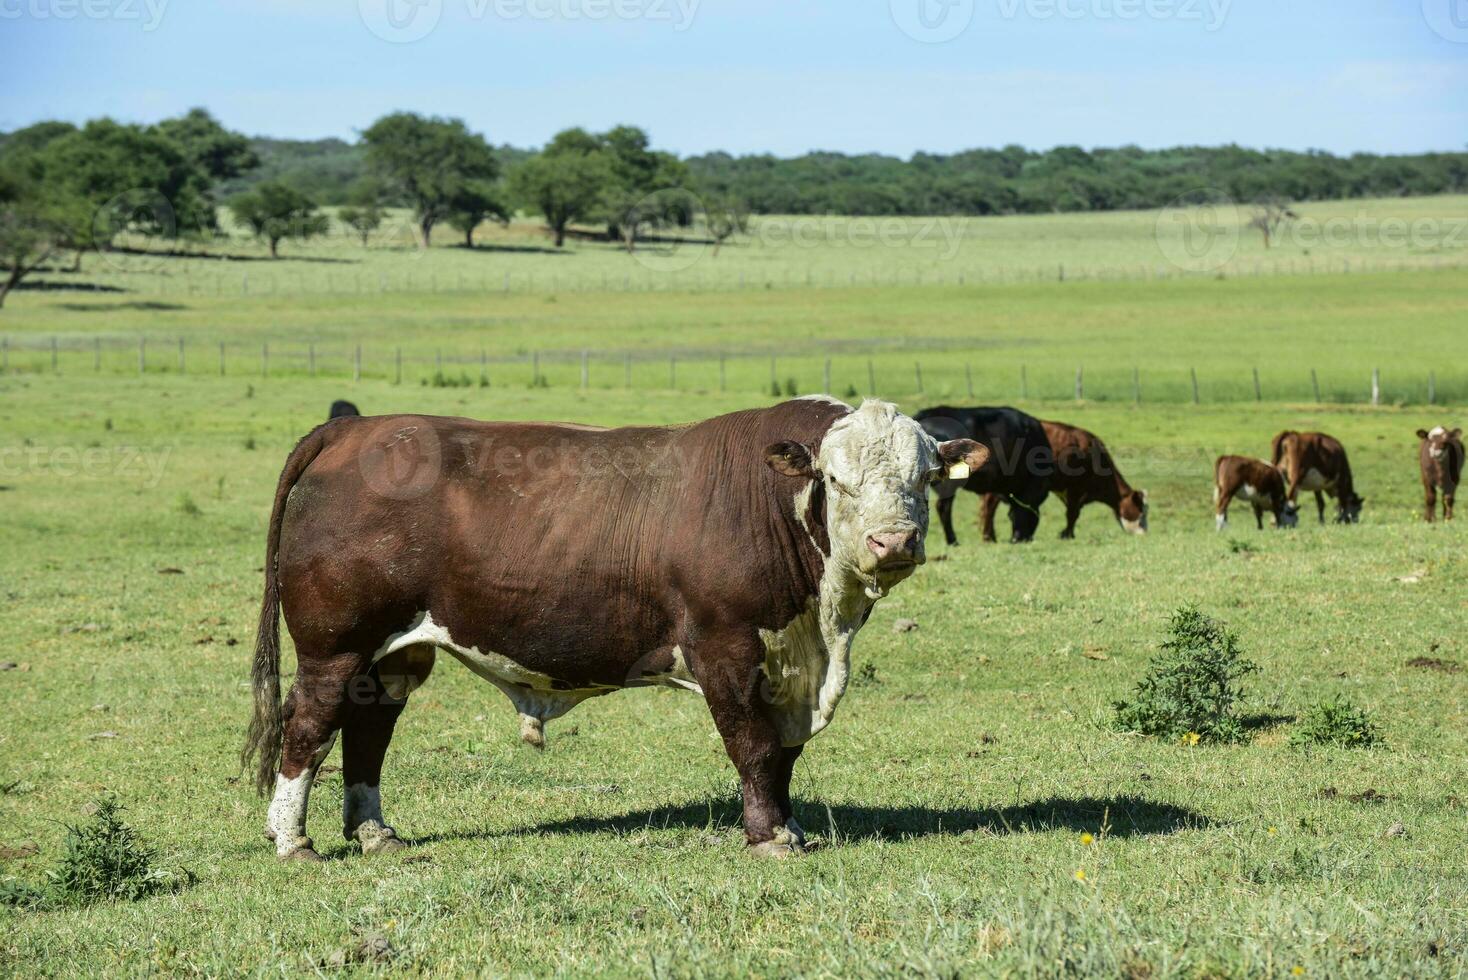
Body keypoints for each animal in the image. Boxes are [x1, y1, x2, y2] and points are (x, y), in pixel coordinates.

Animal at [240, 396, 986, 856]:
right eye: (836, 479)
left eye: (925, 476)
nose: (894, 542)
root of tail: (355, 429)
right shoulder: (725, 647)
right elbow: (754, 746)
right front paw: (769, 837)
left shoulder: (786, 665)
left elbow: (784, 754)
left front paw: (790, 825)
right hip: (336, 644)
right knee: (309, 722)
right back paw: (292, 840)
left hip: (394, 653)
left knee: (368, 728)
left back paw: (375, 833)